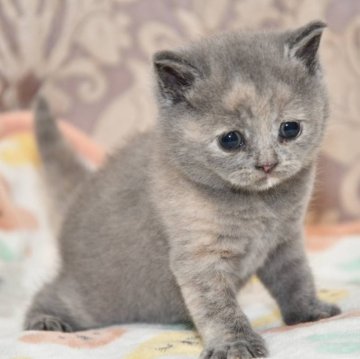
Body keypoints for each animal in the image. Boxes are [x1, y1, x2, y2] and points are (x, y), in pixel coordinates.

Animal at [25, 21, 340, 359]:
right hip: (95, 298)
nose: (267, 164)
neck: (260, 204)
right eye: (231, 139)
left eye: (290, 129)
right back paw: (45, 322)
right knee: (51, 293)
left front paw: (310, 311)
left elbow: (296, 277)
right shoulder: (199, 255)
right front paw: (235, 344)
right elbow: (219, 307)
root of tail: (79, 193)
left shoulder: (285, 241)